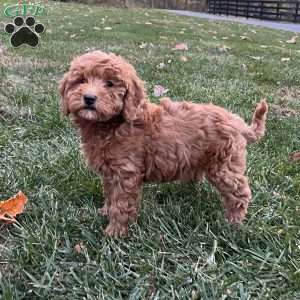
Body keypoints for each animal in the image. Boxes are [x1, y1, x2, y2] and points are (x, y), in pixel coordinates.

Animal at [58, 52, 268, 239]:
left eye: (109, 83)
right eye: (81, 80)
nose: (89, 98)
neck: (112, 124)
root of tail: (237, 123)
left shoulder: (126, 173)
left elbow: (121, 204)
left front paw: (115, 232)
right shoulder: (110, 173)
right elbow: (110, 195)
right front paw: (105, 211)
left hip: (225, 164)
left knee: (239, 192)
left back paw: (233, 222)